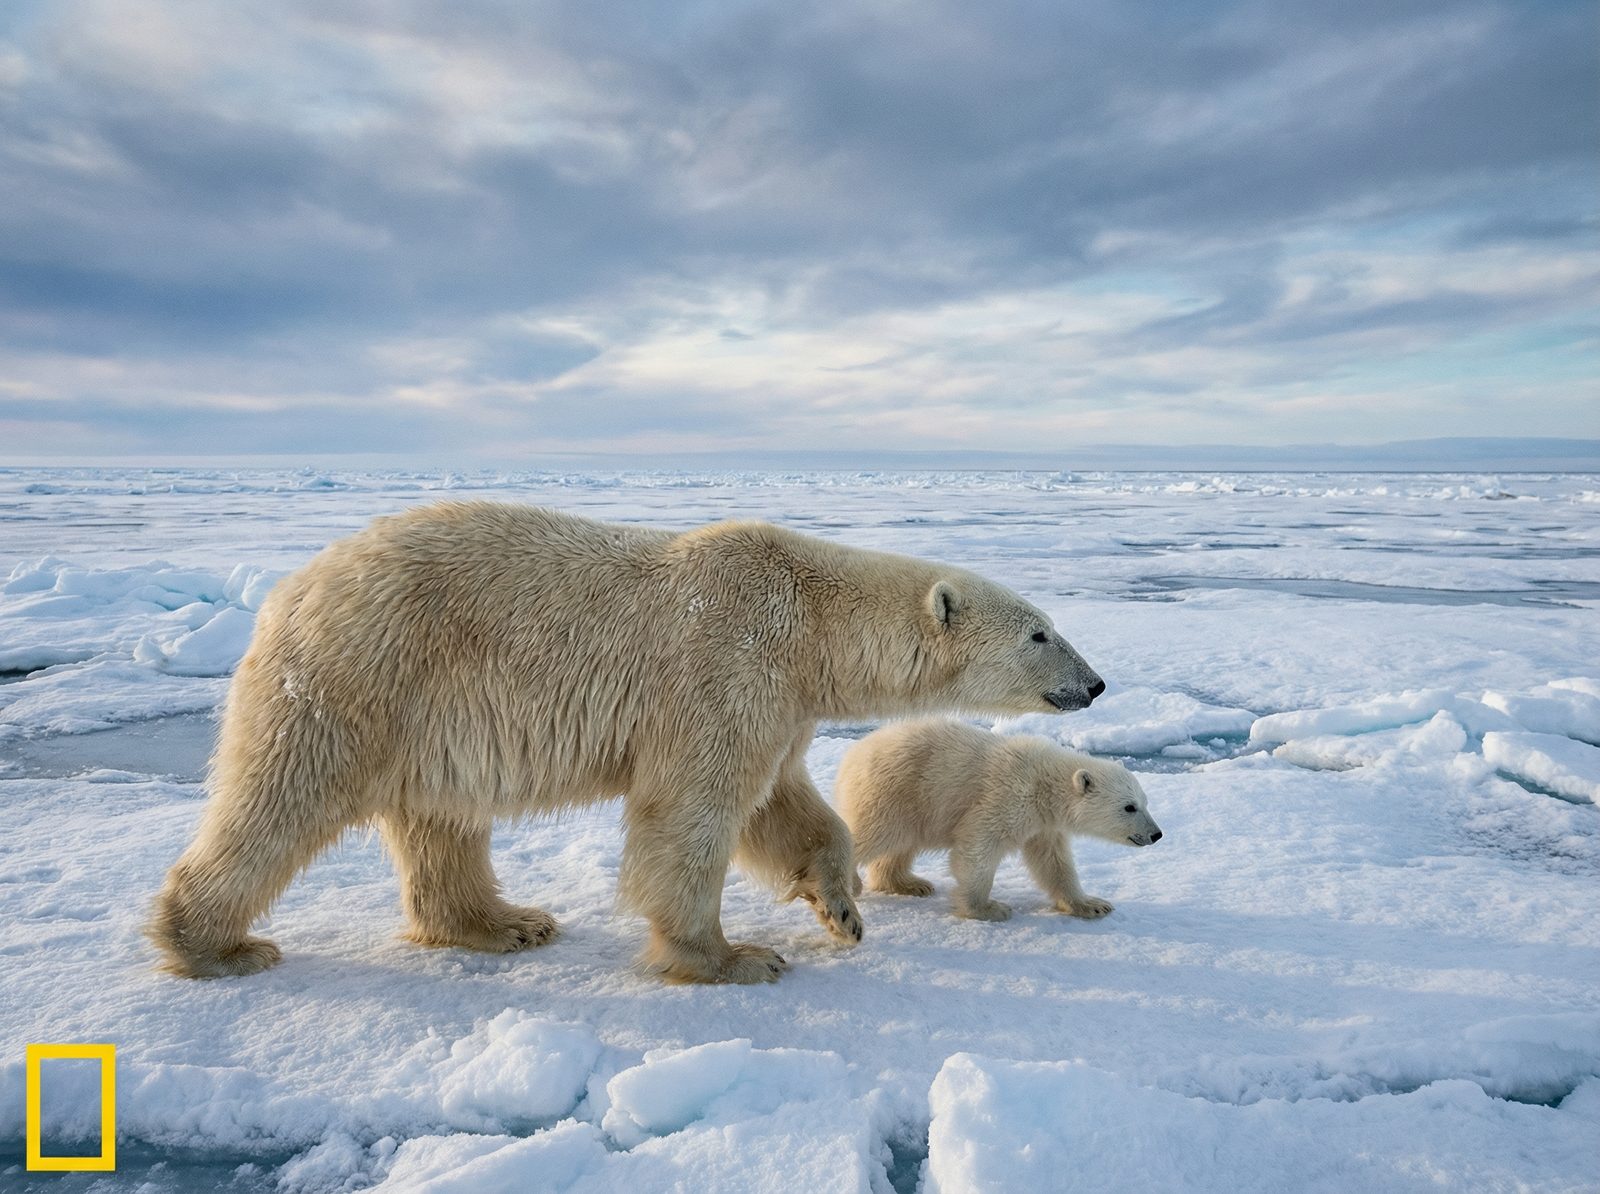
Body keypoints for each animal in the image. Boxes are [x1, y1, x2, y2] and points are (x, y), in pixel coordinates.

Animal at [148, 502, 1105, 984]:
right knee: (282, 798)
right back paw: (213, 944)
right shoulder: (725, 662)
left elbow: (786, 803)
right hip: (364, 677)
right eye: (1041, 632)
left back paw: (506, 923)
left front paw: (841, 906)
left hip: (426, 715)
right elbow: (693, 812)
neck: (810, 618)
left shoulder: (780, 700)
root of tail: (287, 590)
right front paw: (730, 957)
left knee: (441, 819)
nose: (1095, 683)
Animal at [835, 718, 1160, 922]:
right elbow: (977, 849)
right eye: (1129, 807)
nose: (1156, 834)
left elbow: (1054, 863)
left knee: (901, 844)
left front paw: (1092, 905)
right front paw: (989, 909)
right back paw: (852, 882)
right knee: (872, 833)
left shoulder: (1044, 825)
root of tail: (852, 756)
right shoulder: (1007, 798)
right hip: (893, 790)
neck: (1044, 782)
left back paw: (911, 883)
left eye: (1145, 802)